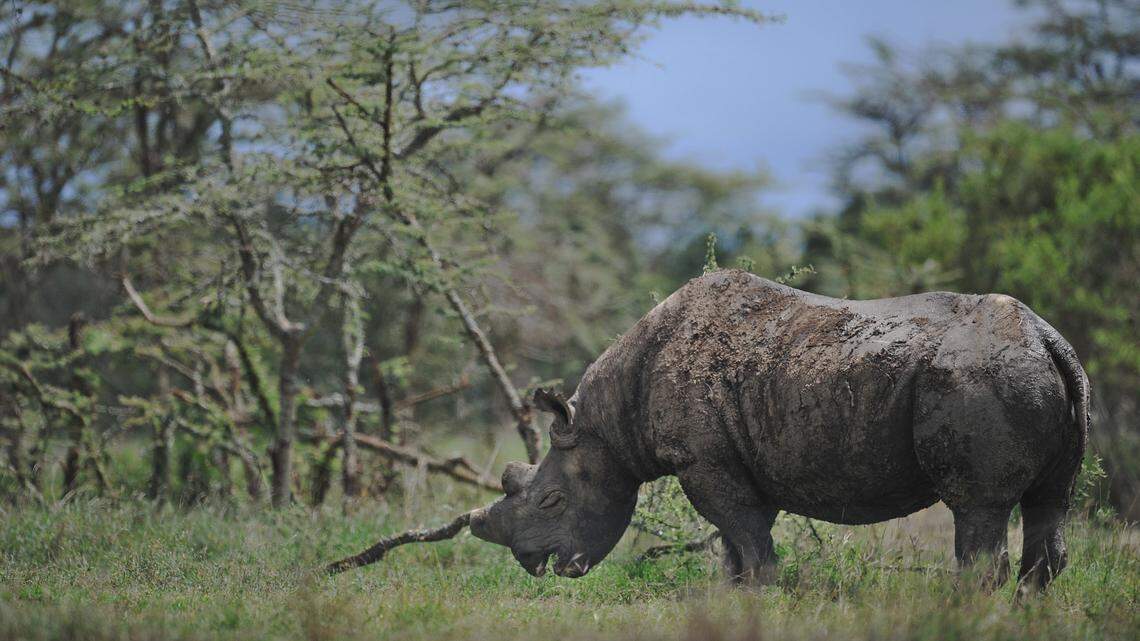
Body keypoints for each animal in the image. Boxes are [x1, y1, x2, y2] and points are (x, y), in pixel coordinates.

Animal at [469, 270, 1089, 591]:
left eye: (551, 500)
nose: (533, 564)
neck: (609, 422)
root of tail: (1046, 340)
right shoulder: (732, 456)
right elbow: (739, 535)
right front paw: (731, 593)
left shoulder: (702, 459)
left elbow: (743, 530)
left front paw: (759, 591)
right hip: (1044, 377)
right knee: (1050, 501)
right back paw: (1026, 606)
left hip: (978, 379)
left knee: (977, 506)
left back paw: (963, 605)